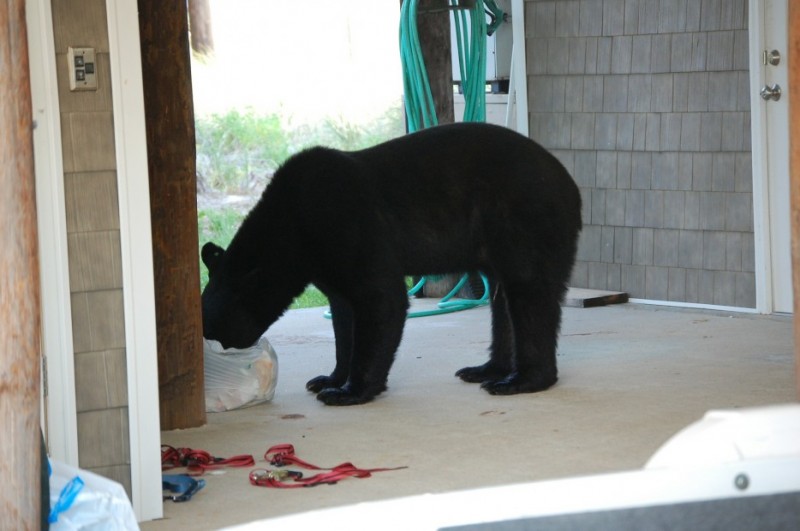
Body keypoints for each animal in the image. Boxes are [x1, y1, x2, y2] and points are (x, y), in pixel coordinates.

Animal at [202, 122, 580, 408]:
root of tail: (572, 186)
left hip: (524, 219)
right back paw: (486, 369)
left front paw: (348, 391)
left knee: (529, 295)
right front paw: (329, 377)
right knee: (503, 305)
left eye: (215, 330)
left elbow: (382, 299)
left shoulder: (351, 227)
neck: (294, 227)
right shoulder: (327, 264)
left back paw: (521, 380)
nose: (213, 352)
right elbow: (343, 315)